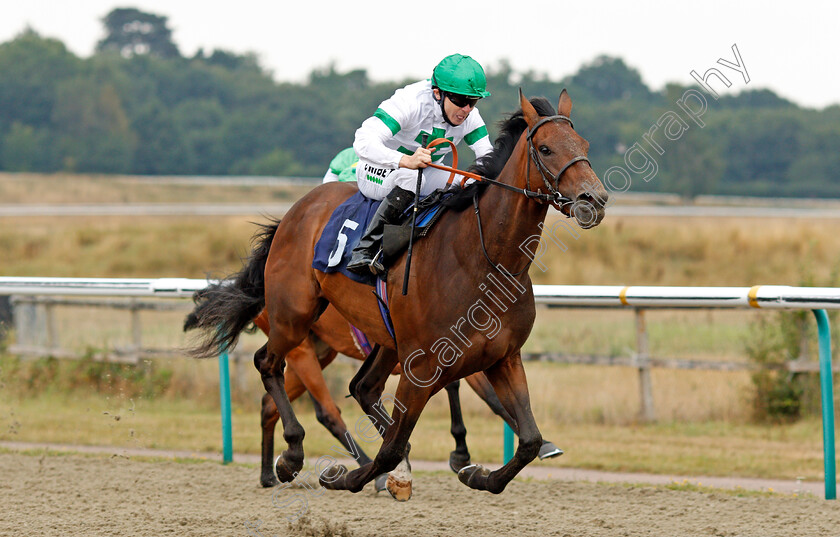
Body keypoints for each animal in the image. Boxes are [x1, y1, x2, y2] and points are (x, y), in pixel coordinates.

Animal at [189, 91, 608, 494]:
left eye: (584, 143)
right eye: (547, 148)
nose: (595, 200)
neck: (484, 257)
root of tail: (294, 213)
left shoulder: (502, 357)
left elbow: (529, 440)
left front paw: (477, 474)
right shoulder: (422, 363)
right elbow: (390, 448)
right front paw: (349, 477)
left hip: (369, 342)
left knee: (358, 388)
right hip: (293, 319)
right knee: (272, 366)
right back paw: (291, 456)